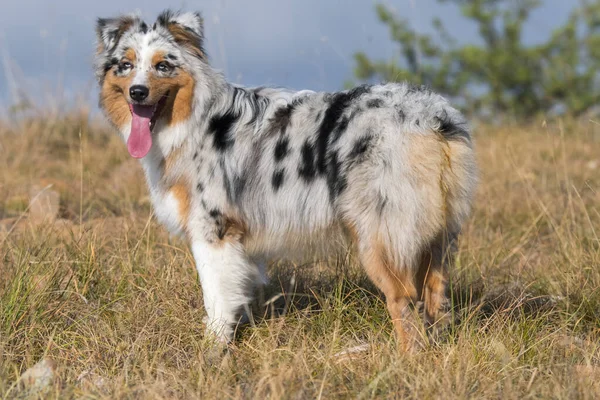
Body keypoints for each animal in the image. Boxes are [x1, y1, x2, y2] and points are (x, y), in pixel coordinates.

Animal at [94, 10, 478, 350]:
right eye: (125, 65)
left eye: (163, 65)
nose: (137, 92)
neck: (194, 117)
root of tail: (432, 116)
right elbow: (238, 292)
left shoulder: (213, 231)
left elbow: (216, 299)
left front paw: (213, 351)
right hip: (438, 233)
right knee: (436, 294)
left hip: (379, 235)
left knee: (403, 299)